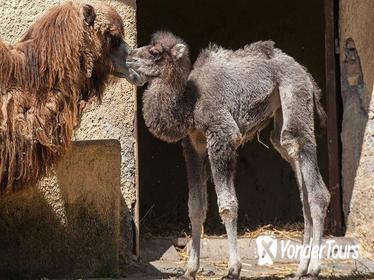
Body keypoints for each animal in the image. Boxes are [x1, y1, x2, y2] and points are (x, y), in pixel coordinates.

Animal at [128, 31, 330, 278]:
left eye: (155, 52)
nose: (129, 57)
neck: (190, 102)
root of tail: (306, 75)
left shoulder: (222, 135)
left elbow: (227, 205)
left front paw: (234, 268)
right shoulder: (192, 145)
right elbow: (195, 207)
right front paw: (190, 269)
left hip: (295, 93)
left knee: (313, 184)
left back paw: (314, 269)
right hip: (281, 116)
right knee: (293, 160)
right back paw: (300, 269)